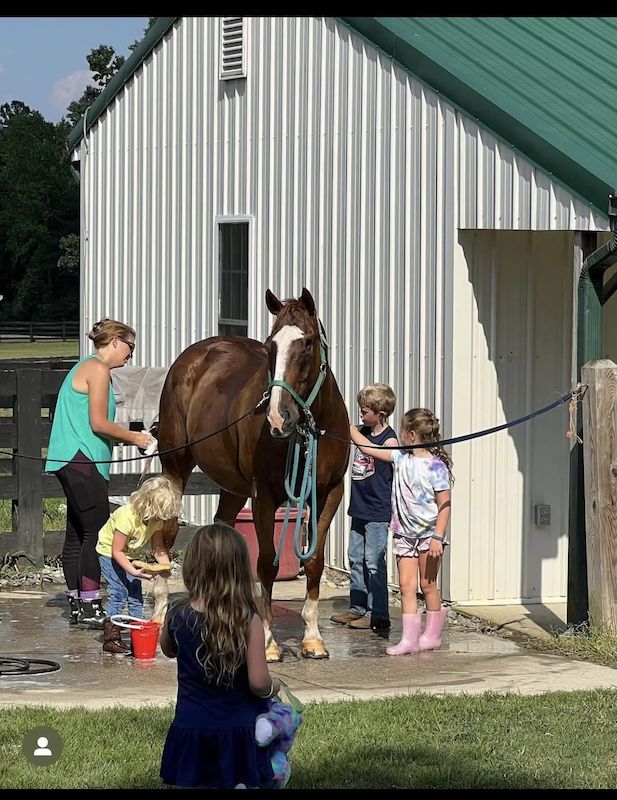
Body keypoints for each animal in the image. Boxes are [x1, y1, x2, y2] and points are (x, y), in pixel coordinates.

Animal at [152, 290, 348, 660]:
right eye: (270, 345)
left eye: (308, 343)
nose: (277, 418)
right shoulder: (264, 495)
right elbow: (267, 562)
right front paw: (269, 643)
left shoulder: (329, 492)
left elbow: (315, 560)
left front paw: (313, 638)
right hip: (176, 467)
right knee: (166, 535)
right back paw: (157, 615)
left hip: (233, 488)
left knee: (222, 528)